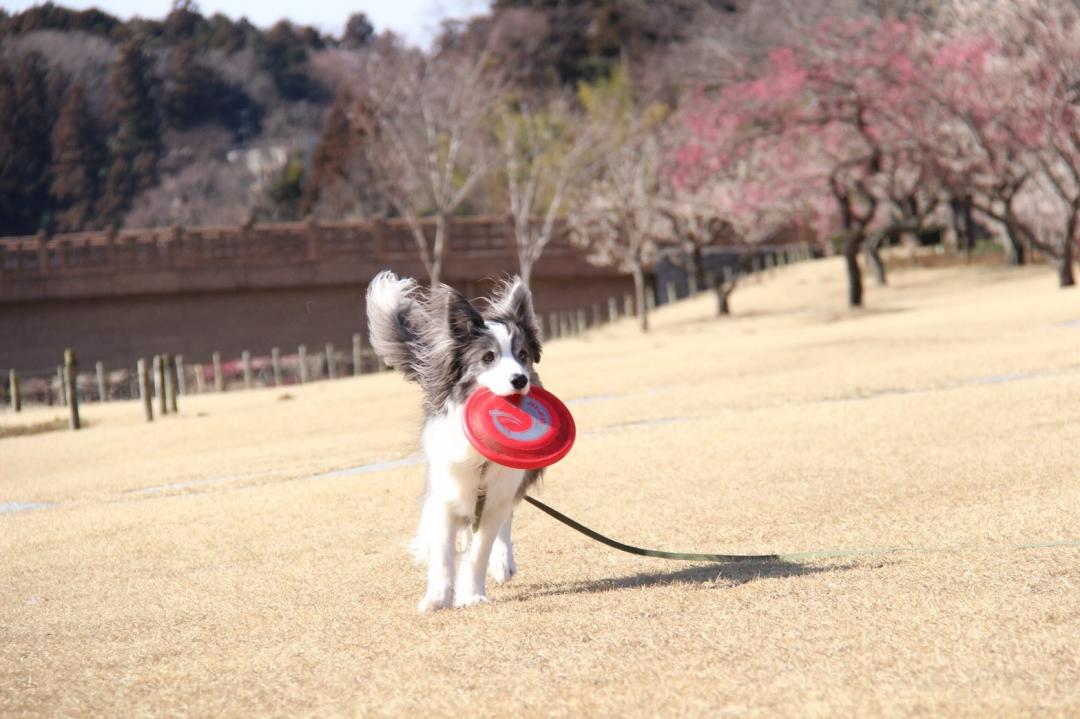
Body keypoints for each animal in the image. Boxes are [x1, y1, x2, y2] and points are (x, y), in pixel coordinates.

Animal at [367, 269, 544, 608]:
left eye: (522, 355)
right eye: (488, 357)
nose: (520, 379)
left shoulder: (497, 493)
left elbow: (480, 550)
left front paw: (472, 594)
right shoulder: (445, 493)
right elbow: (443, 554)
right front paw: (437, 599)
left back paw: (502, 563)